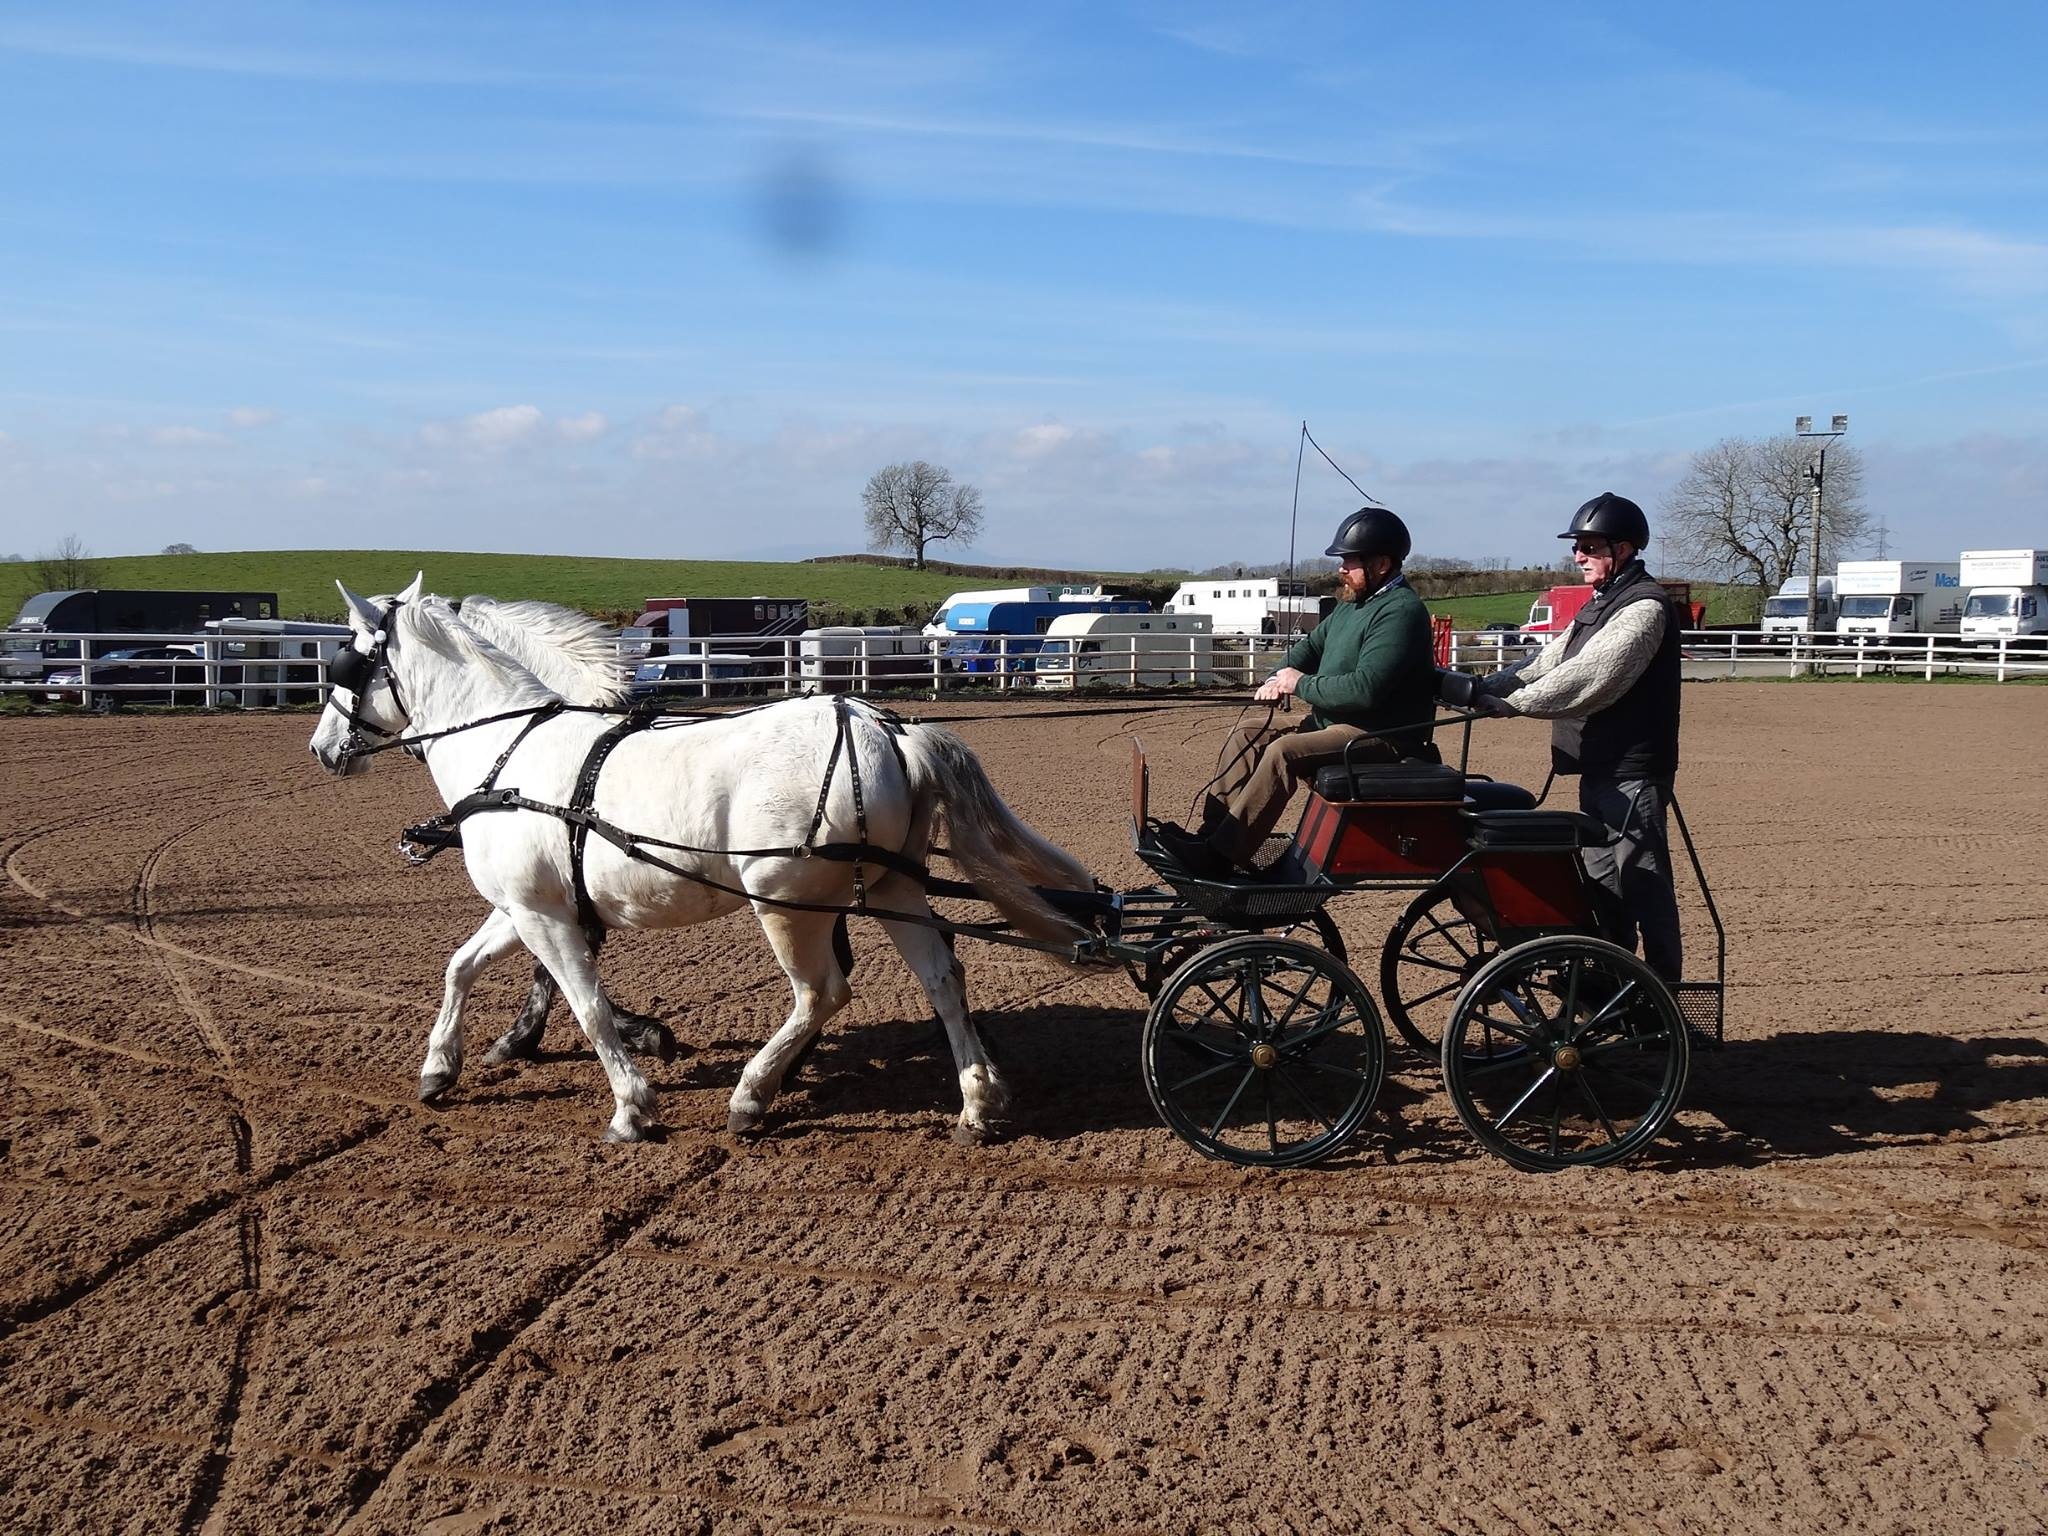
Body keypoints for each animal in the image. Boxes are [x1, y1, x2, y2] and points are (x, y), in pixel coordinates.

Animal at [309, 581, 1097, 1146]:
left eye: (346, 658)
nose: (321, 747)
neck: (510, 753)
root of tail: (884, 727)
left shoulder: (545, 916)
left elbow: (586, 1005)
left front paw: (632, 1107)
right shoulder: (529, 907)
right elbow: (461, 967)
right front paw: (440, 1066)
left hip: (786, 901)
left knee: (823, 993)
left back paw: (751, 1097)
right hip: (893, 887)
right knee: (942, 979)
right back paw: (978, 1104)